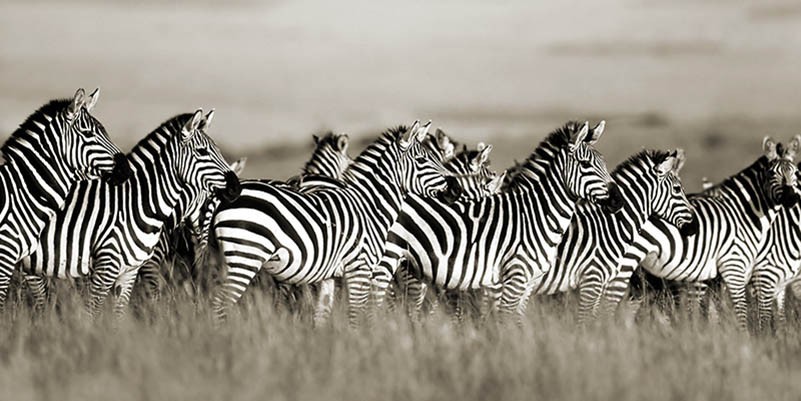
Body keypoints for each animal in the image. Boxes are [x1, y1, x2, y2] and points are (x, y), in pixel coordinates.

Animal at [207, 121, 461, 325]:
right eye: (422, 159)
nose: (456, 188)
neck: (370, 206)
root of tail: (225, 198)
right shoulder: (360, 267)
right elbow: (356, 314)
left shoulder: (329, 275)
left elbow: (321, 316)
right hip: (245, 257)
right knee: (219, 305)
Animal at [371, 120, 624, 324]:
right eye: (585, 164)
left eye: (603, 162)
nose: (618, 200)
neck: (538, 214)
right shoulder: (510, 279)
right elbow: (504, 319)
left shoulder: (527, 283)